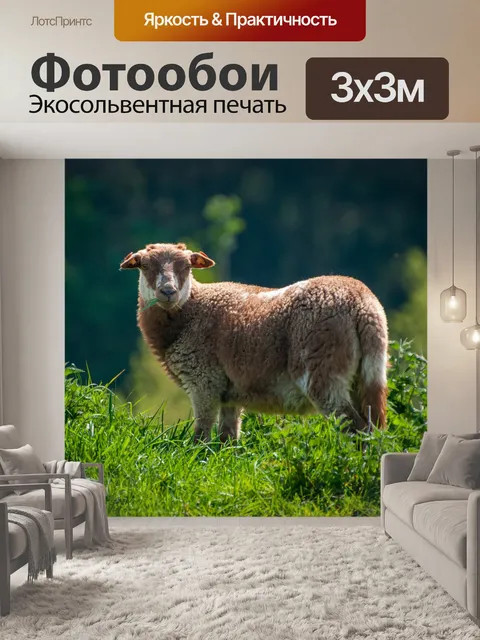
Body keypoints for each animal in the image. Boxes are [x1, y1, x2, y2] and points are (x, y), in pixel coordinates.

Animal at [121, 242, 389, 442]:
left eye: (186, 266)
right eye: (145, 265)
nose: (168, 292)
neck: (190, 310)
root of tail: (362, 305)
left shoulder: (204, 381)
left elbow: (201, 436)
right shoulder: (229, 392)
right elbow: (227, 438)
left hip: (323, 371)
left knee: (357, 429)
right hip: (367, 375)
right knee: (374, 429)